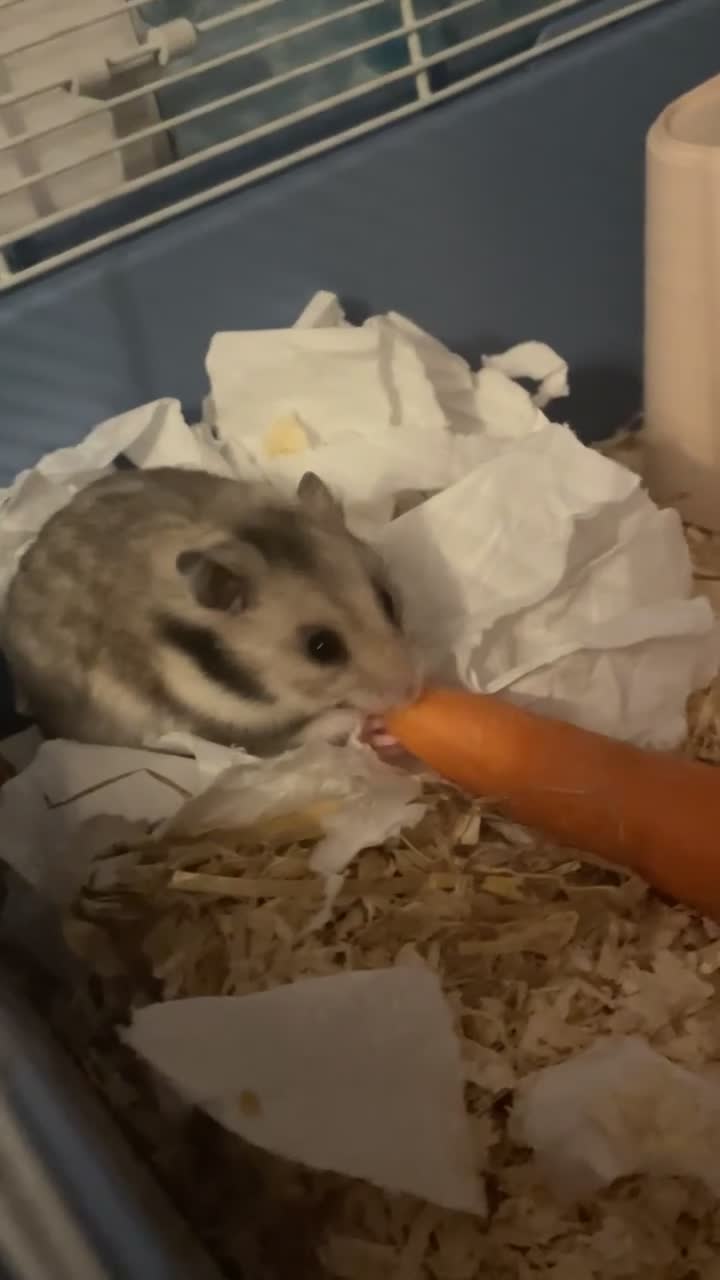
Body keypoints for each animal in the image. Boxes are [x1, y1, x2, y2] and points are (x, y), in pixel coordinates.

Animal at [2, 466, 419, 755]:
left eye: (387, 600)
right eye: (321, 648)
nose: (412, 695)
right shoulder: (231, 730)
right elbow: (302, 734)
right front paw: (366, 725)